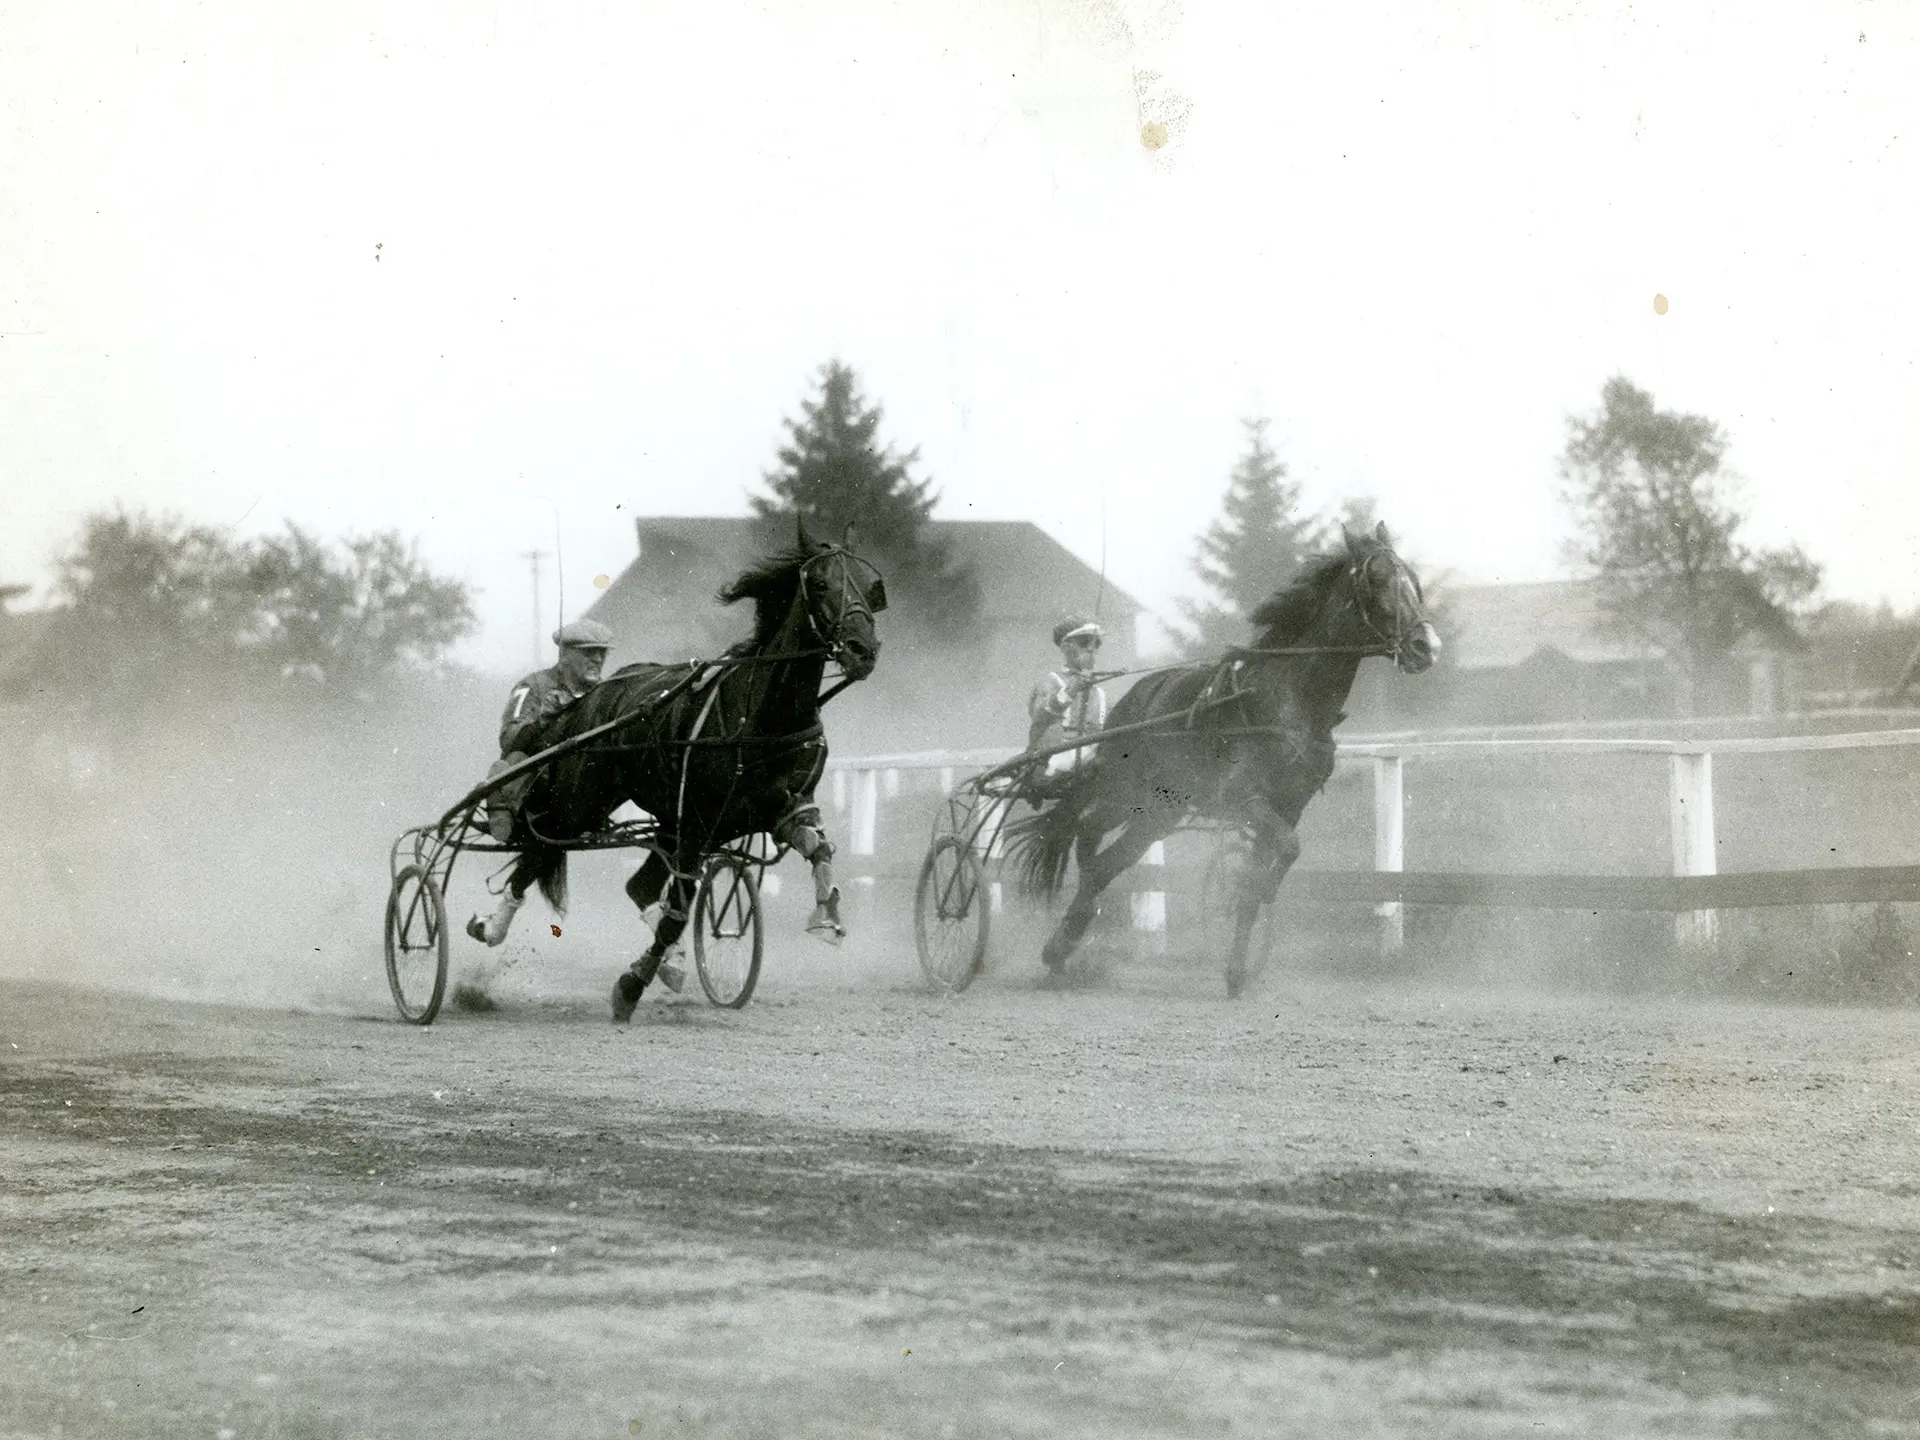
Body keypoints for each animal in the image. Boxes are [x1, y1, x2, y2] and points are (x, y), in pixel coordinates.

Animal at [468, 526, 887, 1021]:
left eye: (870, 585)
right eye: (820, 584)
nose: (863, 649)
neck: (763, 715)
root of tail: (589, 700)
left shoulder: (784, 808)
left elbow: (820, 849)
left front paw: (827, 915)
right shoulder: (700, 824)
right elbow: (679, 913)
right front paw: (630, 987)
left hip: (668, 821)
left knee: (636, 885)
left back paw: (671, 961)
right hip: (582, 806)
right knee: (536, 855)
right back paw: (491, 926)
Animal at [1013, 526, 1436, 998]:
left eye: (1412, 580)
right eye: (1376, 579)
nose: (1425, 645)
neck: (1286, 700)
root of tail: (1130, 703)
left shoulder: (1288, 806)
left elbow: (1268, 868)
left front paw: (1237, 968)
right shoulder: (1246, 799)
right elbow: (1287, 850)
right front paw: (1254, 893)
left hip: (1159, 812)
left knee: (1105, 860)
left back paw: (1068, 940)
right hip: (1126, 794)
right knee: (1087, 834)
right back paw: (1063, 941)